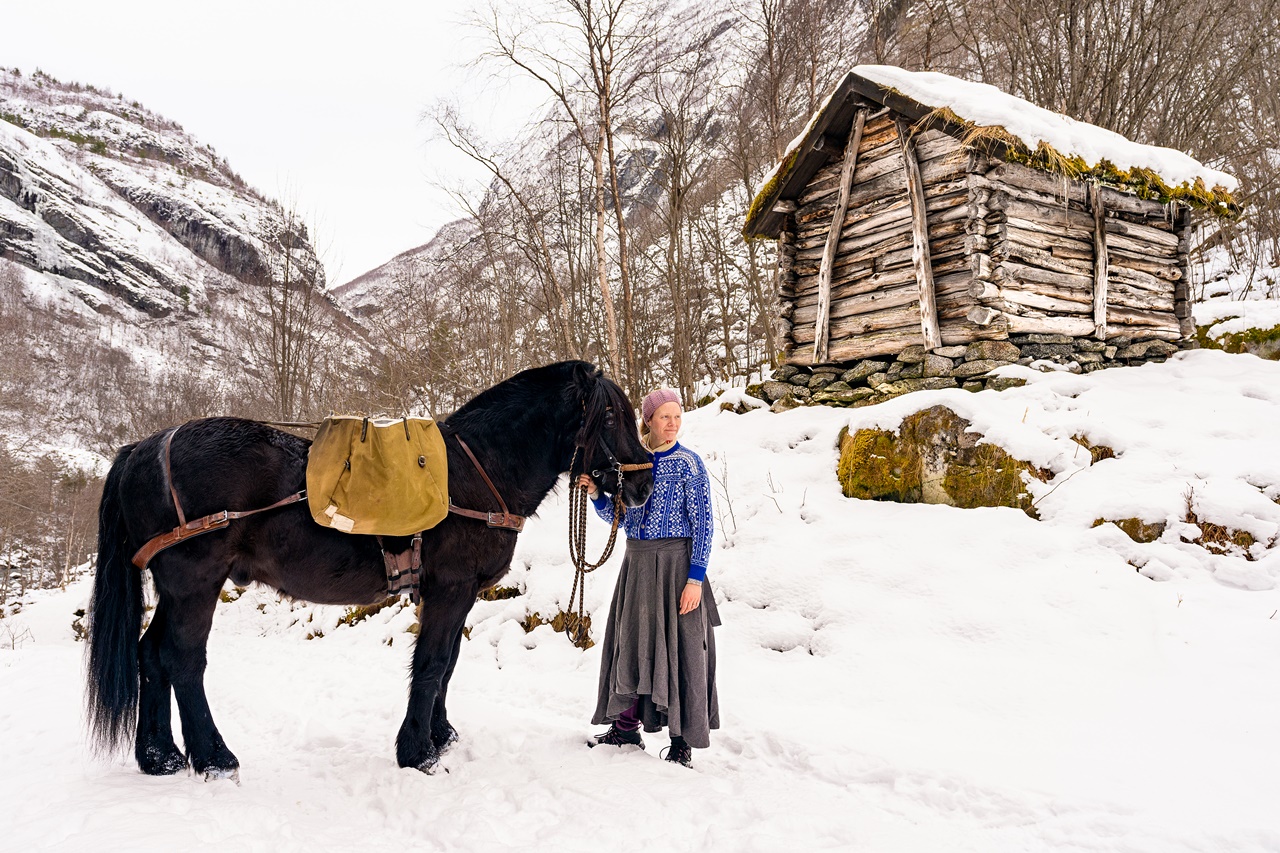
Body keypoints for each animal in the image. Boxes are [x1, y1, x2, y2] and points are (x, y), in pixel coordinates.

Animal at [85, 361, 655, 778]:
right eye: (609, 418)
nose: (644, 484)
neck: (478, 472)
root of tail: (144, 447)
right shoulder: (449, 588)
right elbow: (431, 665)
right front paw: (417, 751)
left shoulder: (460, 594)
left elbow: (448, 663)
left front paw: (439, 736)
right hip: (196, 585)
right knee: (182, 661)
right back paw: (213, 757)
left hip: (175, 589)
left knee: (151, 656)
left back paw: (160, 757)